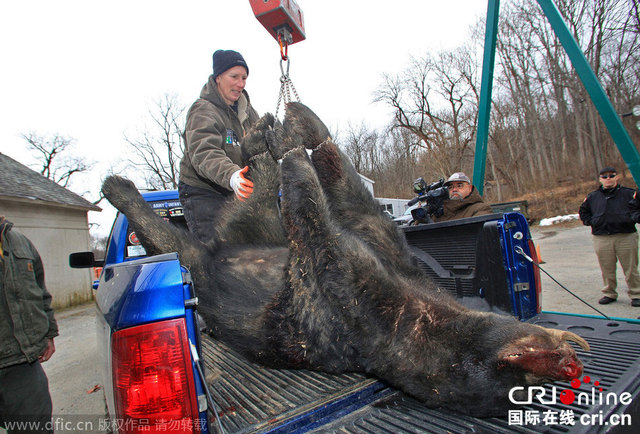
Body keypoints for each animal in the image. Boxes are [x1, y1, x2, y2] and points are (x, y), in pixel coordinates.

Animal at [102, 101, 588, 418]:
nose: (571, 359)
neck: (425, 312)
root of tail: (218, 246)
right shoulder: (391, 256)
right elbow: (354, 200)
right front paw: (310, 128)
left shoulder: (350, 300)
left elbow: (315, 226)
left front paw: (293, 147)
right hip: (253, 230)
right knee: (255, 192)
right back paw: (260, 135)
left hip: (209, 259)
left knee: (185, 236)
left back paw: (122, 188)